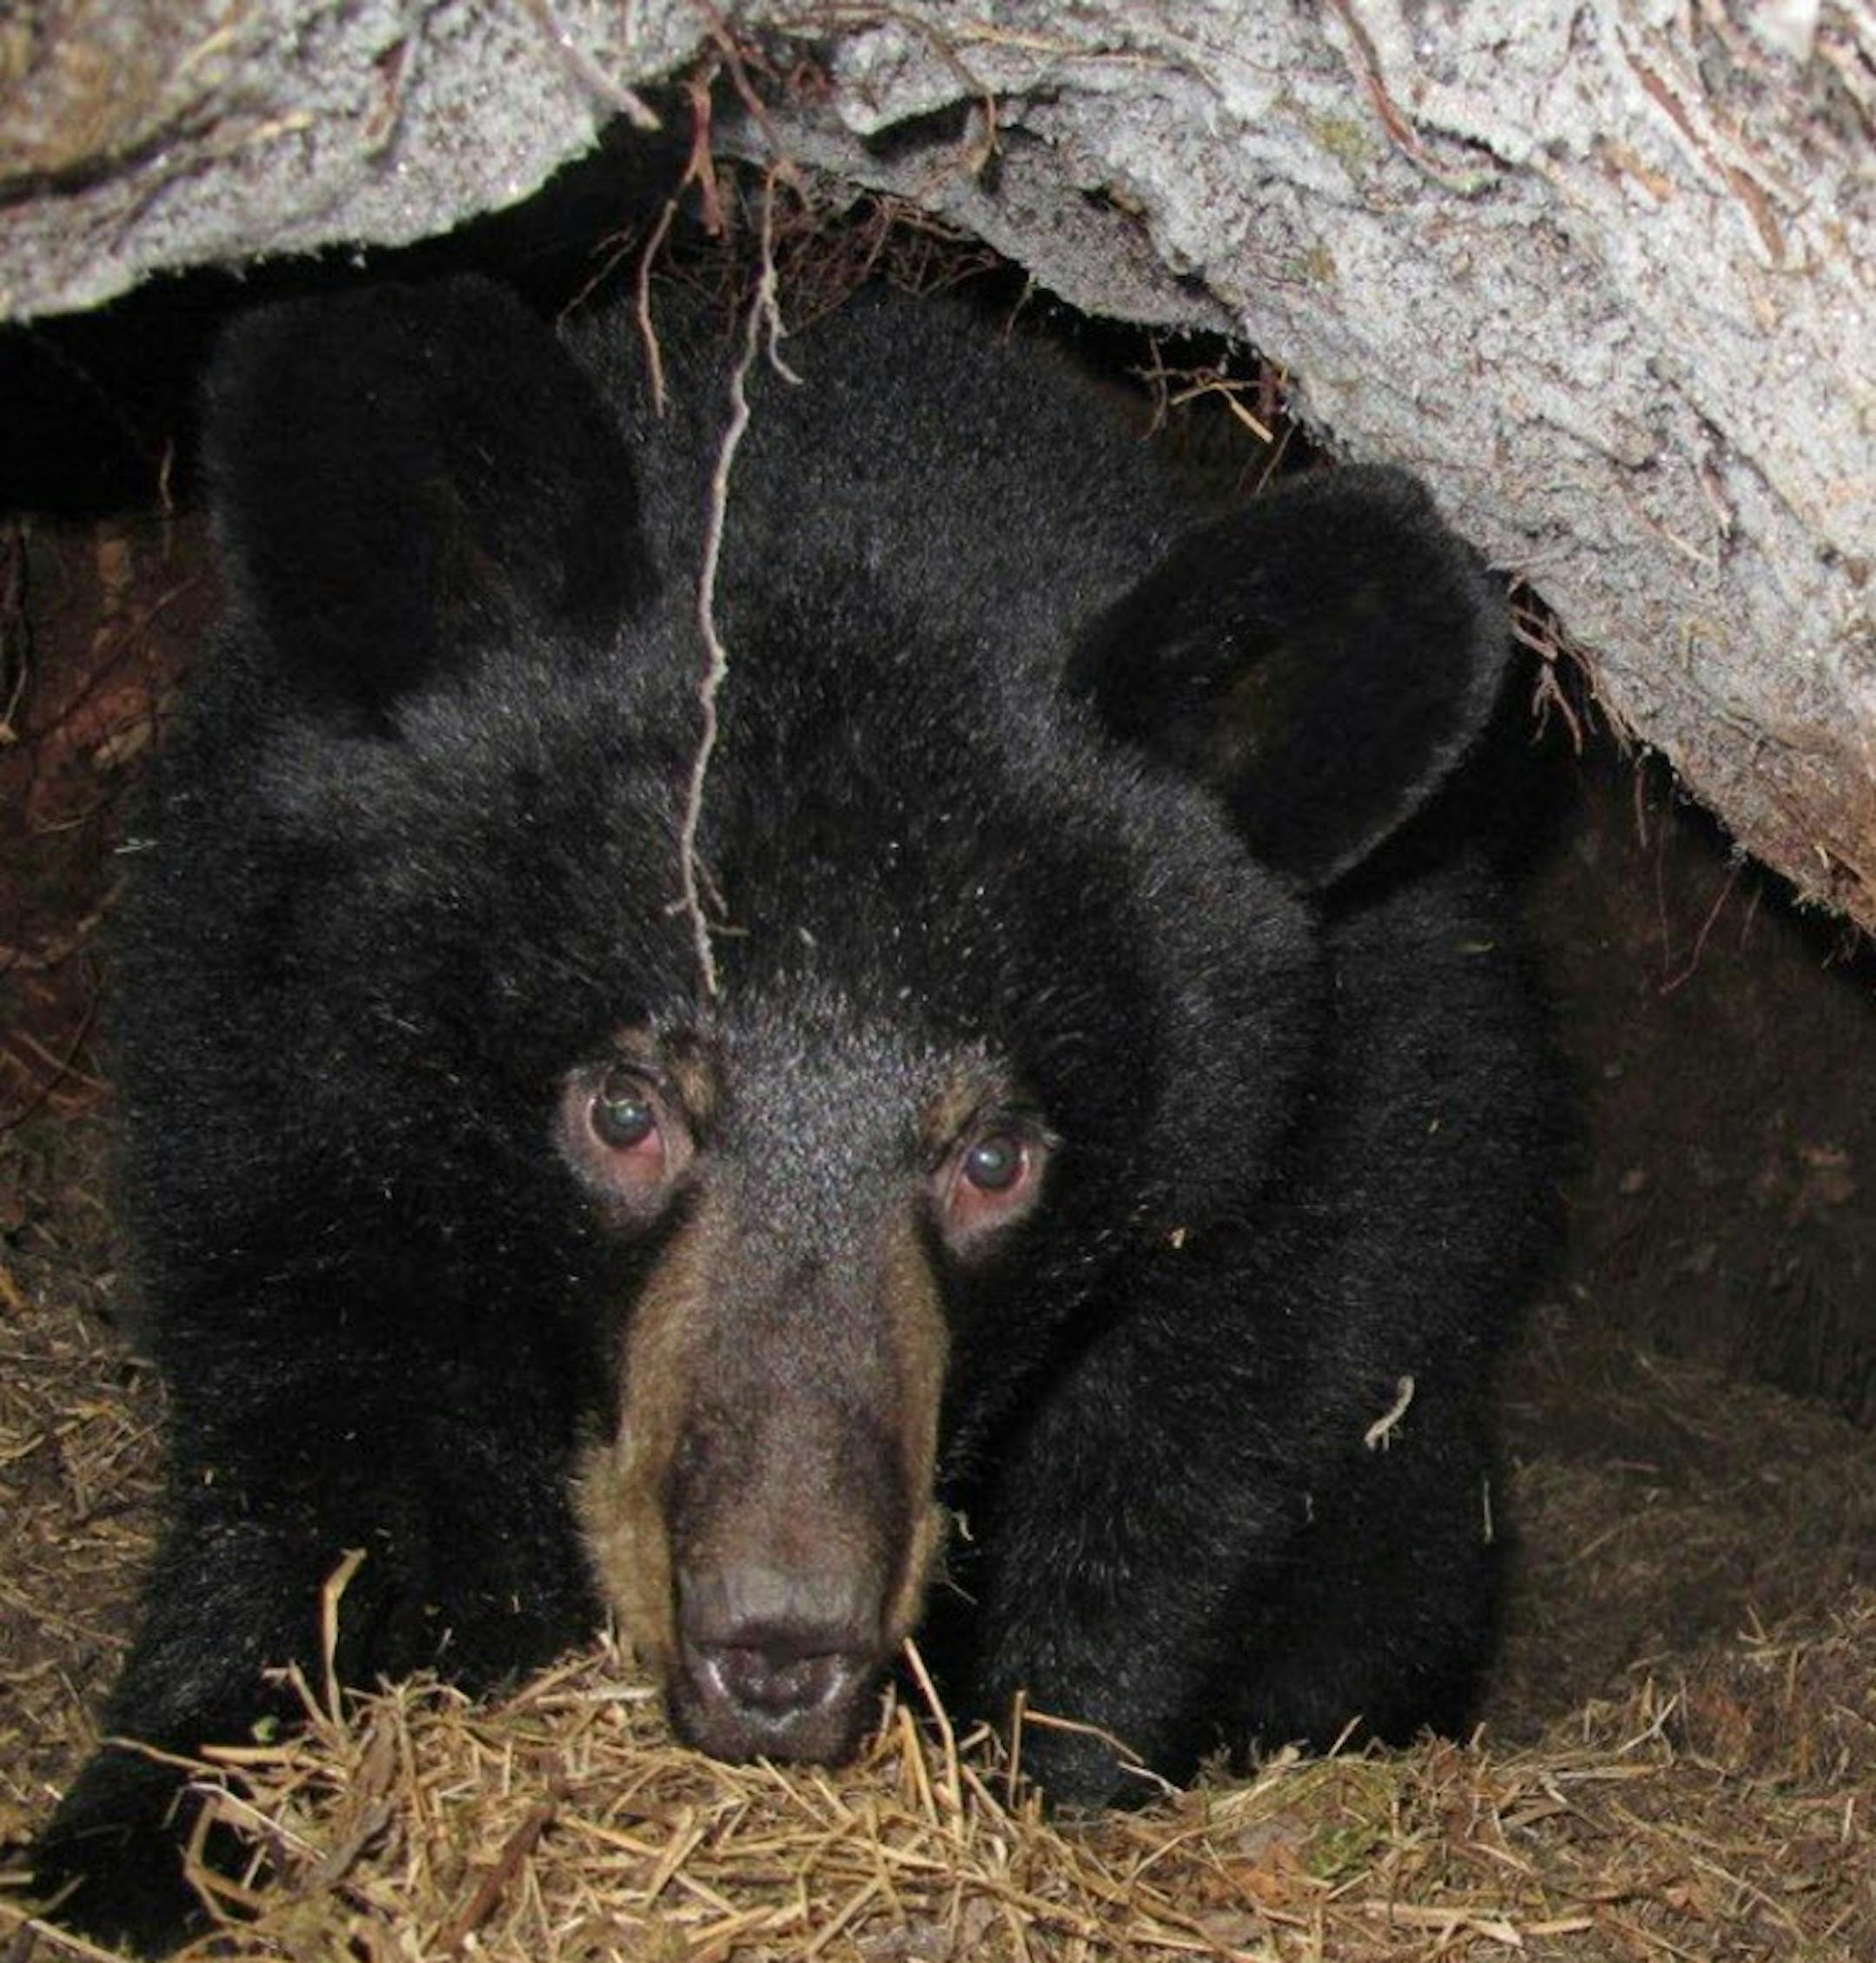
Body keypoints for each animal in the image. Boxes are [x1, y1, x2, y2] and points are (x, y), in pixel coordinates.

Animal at [23, 273, 1555, 1952]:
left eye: (996, 1156)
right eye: (624, 1110)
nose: (776, 1645)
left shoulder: (1332, 1165)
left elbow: (1192, 1477)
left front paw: (1043, 1790)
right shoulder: (277, 1071)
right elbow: (323, 1443)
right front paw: (155, 1830)